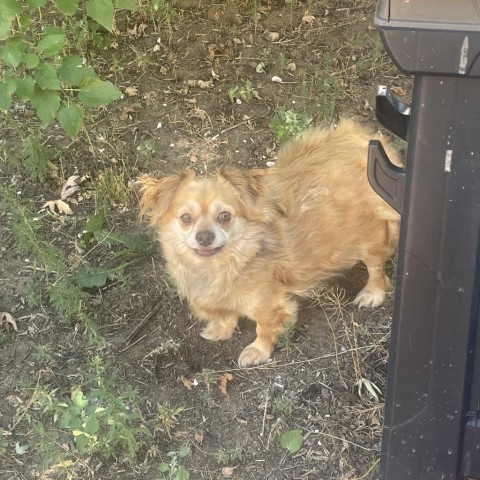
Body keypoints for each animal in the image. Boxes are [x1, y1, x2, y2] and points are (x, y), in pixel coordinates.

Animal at [139, 120, 402, 368]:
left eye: (225, 216)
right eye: (186, 218)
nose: (204, 237)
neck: (220, 266)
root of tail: (364, 140)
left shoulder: (268, 306)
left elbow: (264, 328)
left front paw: (258, 351)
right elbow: (226, 315)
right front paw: (222, 329)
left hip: (370, 238)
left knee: (376, 267)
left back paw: (372, 293)